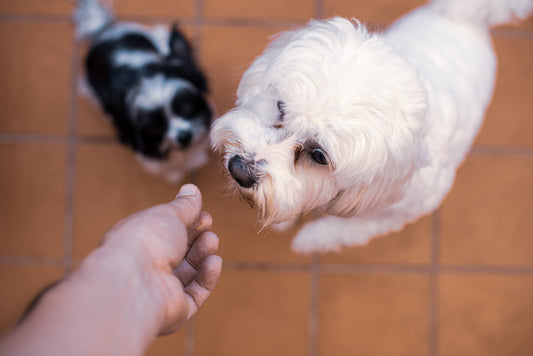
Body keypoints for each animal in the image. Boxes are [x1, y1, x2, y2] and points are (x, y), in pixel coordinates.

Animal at [211, 0, 532, 253]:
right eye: (280, 107)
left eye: (319, 156)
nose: (239, 169)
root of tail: (464, 16)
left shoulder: (396, 211)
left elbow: (345, 229)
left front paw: (310, 238)